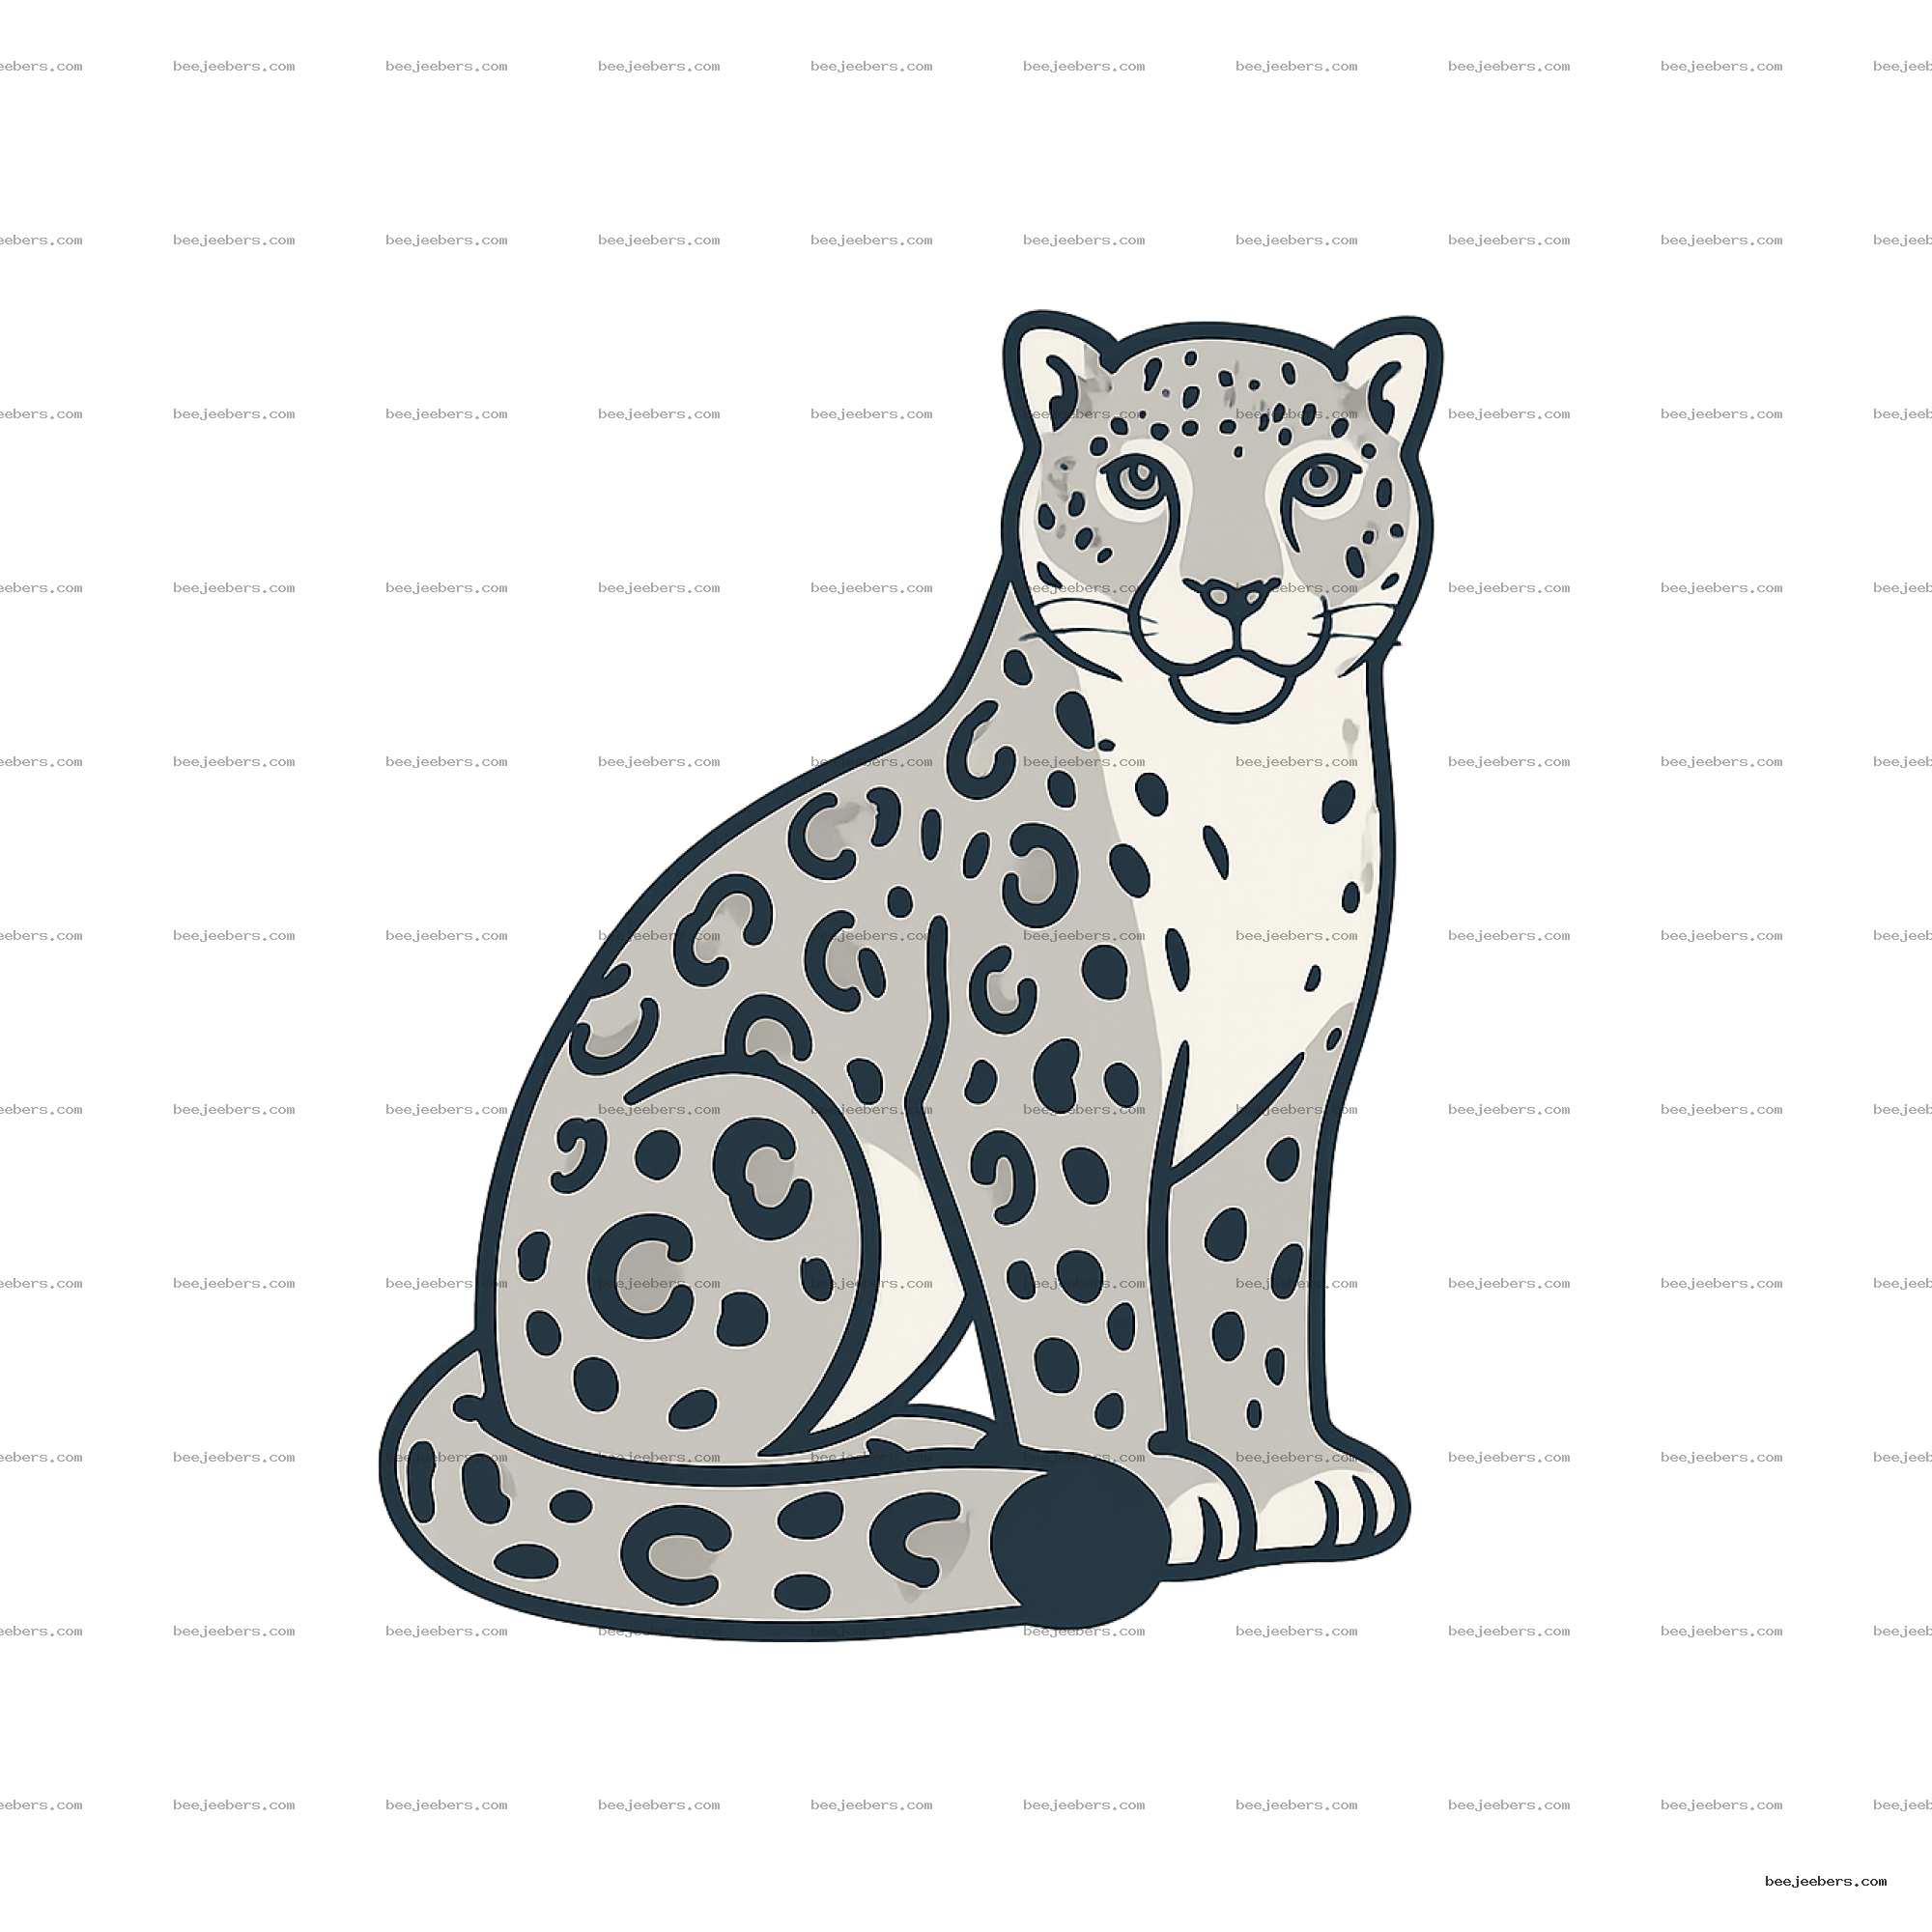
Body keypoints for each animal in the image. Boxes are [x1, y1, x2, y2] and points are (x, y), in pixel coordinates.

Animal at [377, 309, 1440, 1638]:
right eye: (1143, 479)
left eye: (1321, 479)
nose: (1233, 593)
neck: (1250, 791)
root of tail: (496, 1359)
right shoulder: (1047, 1090)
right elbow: (1085, 1298)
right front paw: (1148, 1478)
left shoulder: (1282, 1093)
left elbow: (1254, 1287)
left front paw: (1281, 1474)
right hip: (770, 1135)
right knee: (651, 1460)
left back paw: (906, 1456)